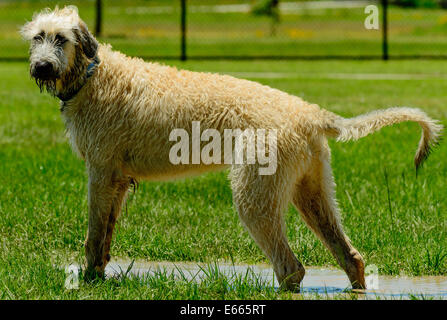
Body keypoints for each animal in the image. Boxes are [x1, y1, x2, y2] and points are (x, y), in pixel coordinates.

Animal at [21, 5, 440, 290]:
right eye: (37, 37)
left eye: (61, 39)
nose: (41, 68)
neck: (92, 74)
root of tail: (310, 113)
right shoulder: (117, 179)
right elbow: (106, 230)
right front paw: (99, 274)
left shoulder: (101, 171)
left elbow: (94, 232)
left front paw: (88, 278)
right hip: (313, 187)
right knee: (349, 255)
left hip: (256, 190)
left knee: (291, 267)